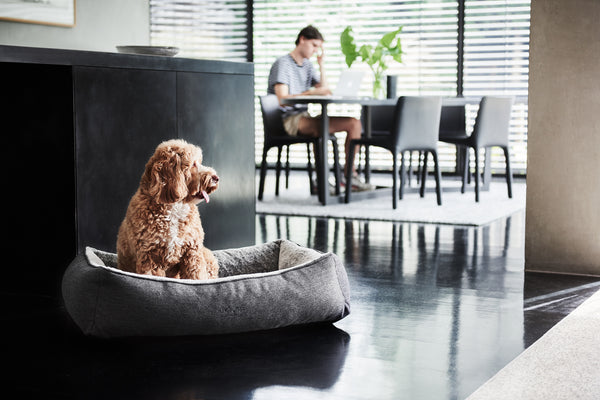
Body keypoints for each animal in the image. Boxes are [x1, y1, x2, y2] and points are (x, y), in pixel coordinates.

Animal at [116, 139, 219, 280]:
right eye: (193, 164)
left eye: (199, 162)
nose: (216, 177)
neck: (174, 207)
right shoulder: (150, 257)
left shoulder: (192, 252)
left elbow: (196, 276)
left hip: (207, 256)